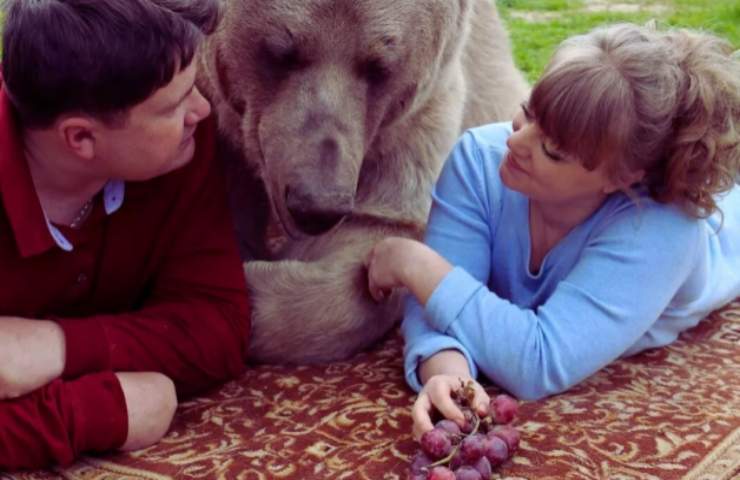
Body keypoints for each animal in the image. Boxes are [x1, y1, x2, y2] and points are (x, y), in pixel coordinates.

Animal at [199, 0, 528, 360]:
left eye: (379, 67)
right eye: (281, 53)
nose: (316, 207)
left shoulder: (415, 120)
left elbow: (381, 229)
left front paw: (252, 284)